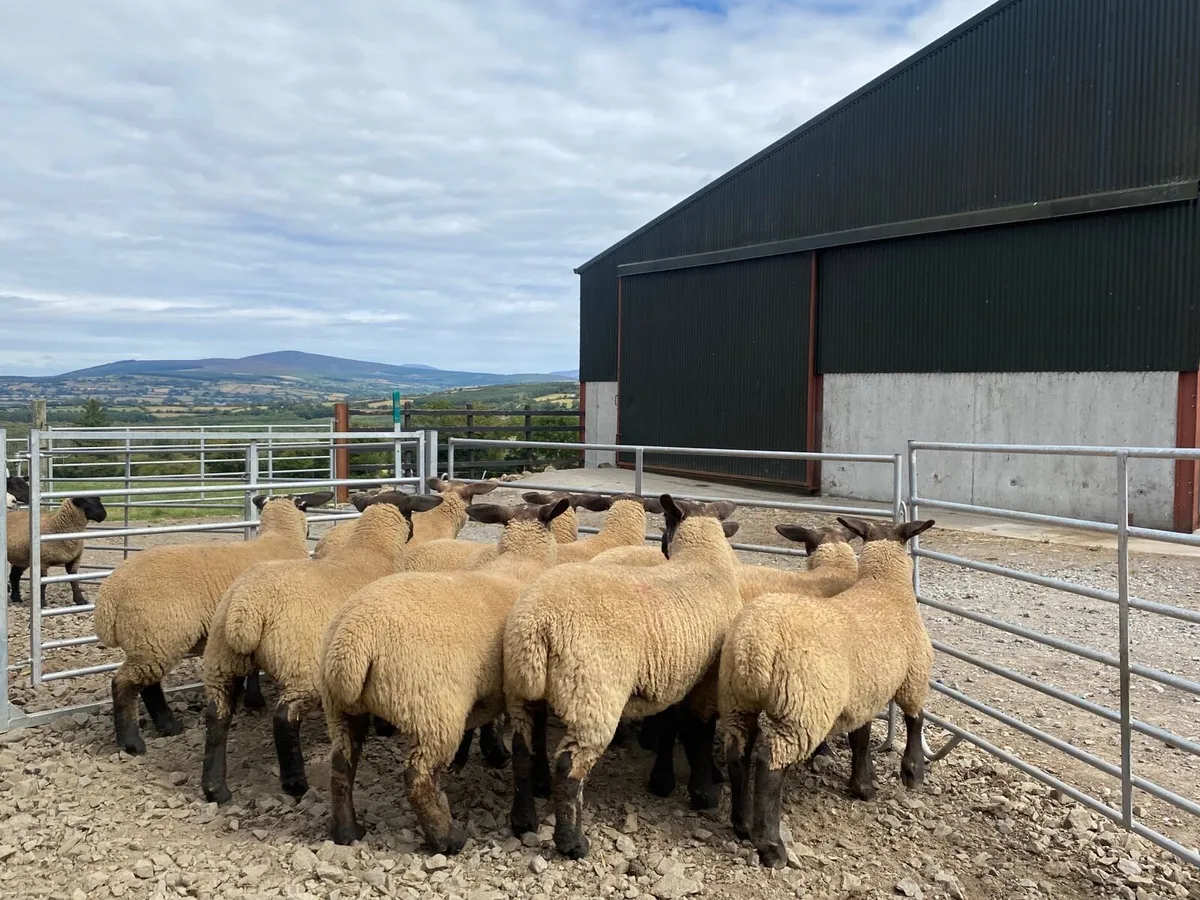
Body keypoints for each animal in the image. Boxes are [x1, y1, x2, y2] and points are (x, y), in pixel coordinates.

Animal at [93, 491, 333, 755]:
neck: (281, 537)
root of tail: (109, 596)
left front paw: (250, 699)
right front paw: (255, 700)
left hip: (148, 640)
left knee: (148, 685)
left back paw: (167, 726)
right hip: (158, 635)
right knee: (124, 684)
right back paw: (134, 742)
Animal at [200, 491, 444, 805]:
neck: (372, 551)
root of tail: (246, 608)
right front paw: (384, 728)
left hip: (222, 660)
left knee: (216, 716)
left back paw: (216, 789)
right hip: (300, 665)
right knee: (284, 719)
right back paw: (295, 784)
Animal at [317, 497, 573, 852]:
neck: (521, 563)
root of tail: (353, 640)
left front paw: (470, 757)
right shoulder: (523, 691)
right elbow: (529, 745)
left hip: (340, 708)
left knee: (341, 765)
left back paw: (346, 831)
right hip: (433, 711)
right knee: (418, 778)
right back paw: (447, 837)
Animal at [503, 494, 741, 859]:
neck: (704, 562)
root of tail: (536, 623)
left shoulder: (674, 675)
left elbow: (674, 727)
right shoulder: (707, 680)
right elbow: (698, 732)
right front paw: (704, 794)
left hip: (520, 688)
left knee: (521, 751)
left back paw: (523, 821)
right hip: (592, 692)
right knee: (568, 767)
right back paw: (573, 843)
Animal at [717, 516, 935, 868]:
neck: (884, 587)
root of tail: (753, 647)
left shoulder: (863, 691)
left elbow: (861, 738)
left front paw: (863, 783)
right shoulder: (914, 673)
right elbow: (915, 719)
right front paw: (912, 773)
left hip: (737, 699)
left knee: (738, 753)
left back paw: (742, 824)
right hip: (802, 707)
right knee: (769, 764)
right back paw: (771, 847)